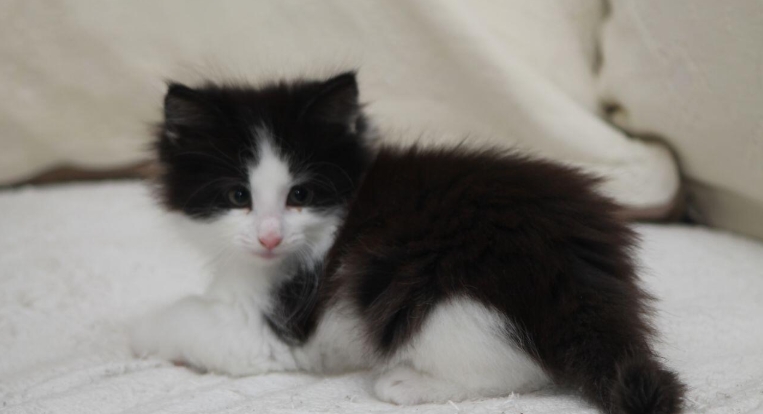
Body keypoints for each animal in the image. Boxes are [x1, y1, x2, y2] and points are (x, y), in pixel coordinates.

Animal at [131, 73, 688, 412]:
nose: (270, 236)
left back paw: (405, 382)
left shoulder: (284, 327)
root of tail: (585, 283)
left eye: (300, 195)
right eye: (238, 196)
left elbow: (182, 318)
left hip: (435, 289)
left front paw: (132, 335)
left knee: (521, 371)